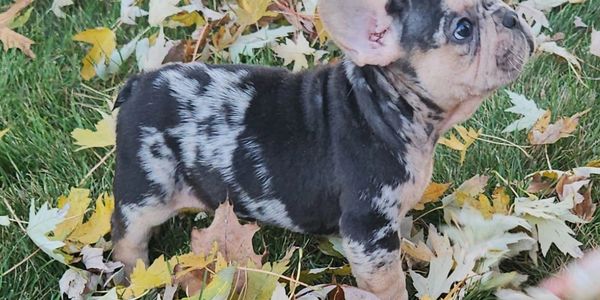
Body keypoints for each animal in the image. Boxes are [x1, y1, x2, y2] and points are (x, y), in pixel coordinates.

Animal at [110, 0, 532, 298]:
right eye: (463, 29)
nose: (512, 16)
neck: (383, 105)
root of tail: (137, 85)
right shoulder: (368, 229)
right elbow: (389, 283)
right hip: (146, 190)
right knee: (127, 233)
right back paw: (136, 275)